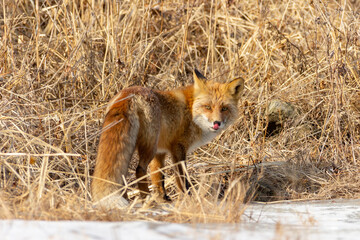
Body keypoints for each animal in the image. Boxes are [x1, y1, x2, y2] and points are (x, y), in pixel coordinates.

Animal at [91, 69, 246, 208]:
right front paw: (186, 199)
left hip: (149, 147)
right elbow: (182, 178)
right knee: (139, 169)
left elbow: (158, 178)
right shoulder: (178, 147)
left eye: (224, 108)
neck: (191, 110)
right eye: (207, 107)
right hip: (150, 146)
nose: (216, 123)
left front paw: (163, 199)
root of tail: (129, 94)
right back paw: (147, 200)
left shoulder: (161, 152)